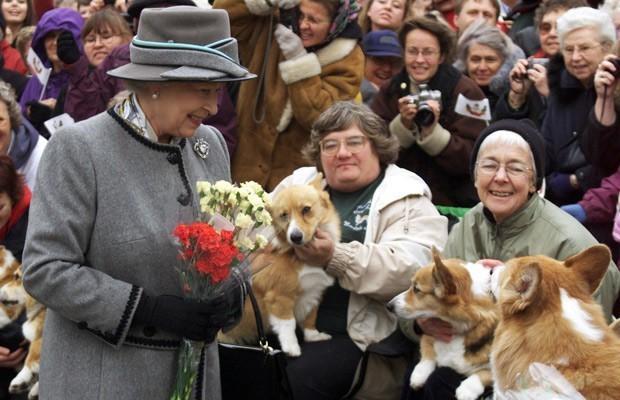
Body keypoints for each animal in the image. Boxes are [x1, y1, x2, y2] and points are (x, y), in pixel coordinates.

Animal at [220, 175, 342, 356]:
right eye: (284, 215)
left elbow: (310, 318)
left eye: (306, 209)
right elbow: (288, 324)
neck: (299, 256)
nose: (295, 237)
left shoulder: (313, 293)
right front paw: (292, 348)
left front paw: (314, 336)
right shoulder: (280, 297)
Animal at [388, 247, 498, 400]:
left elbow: (487, 373)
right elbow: (427, 351)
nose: (388, 306)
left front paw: (467, 389)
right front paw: (419, 374)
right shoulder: (430, 329)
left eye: (416, 289)